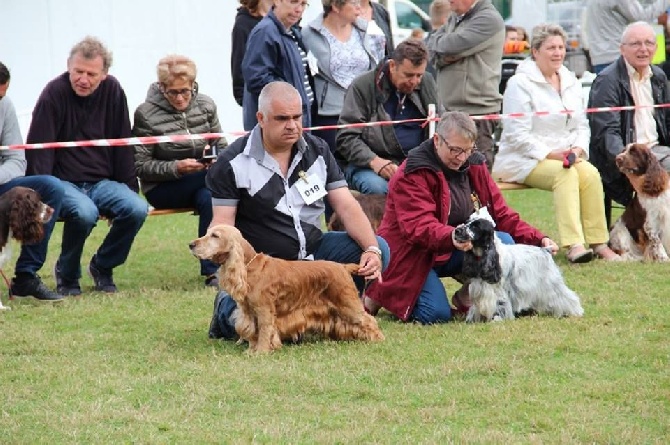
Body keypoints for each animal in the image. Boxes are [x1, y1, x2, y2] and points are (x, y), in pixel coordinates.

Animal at [192, 224, 386, 352]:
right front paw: (251, 350)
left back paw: (378, 339)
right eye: (207, 233)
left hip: (347, 303)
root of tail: (343, 267)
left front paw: (261, 352)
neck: (250, 266)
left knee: (369, 319)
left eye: (215, 235)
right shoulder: (248, 310)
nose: (191, 244)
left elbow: (264, 330)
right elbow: (252, 330)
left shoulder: (264, 310)